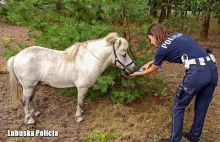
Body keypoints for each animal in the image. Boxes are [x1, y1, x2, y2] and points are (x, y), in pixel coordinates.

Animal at [7, 32, 136, 123]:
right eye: (124, 54)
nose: (133, 68)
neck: (88, 60)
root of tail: (16, 56)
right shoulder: (82, 87)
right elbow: (80, 101)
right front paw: (79, 116)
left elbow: (81, 101)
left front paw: (82, 112)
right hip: (28, 86)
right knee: (24, 101)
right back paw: (29, 119)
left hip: (33, 85)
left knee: (30, 99)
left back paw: (35, 113)